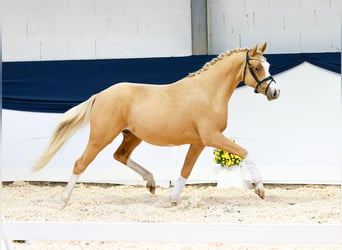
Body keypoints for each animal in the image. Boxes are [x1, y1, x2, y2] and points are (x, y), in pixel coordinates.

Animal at [32, 43, 280, 207]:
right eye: (258, 67)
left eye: (268, 64)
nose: (275, 92)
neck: (207, 91)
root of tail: (100, 95)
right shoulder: (211, 137)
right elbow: (245, 152)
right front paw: (260, 189)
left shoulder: (198, 142)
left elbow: (185, 170)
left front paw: (173, 199)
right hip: (101, 137)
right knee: (80, 163)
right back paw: (64, 200)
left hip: (132, 136)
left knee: (120, 155)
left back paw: (151, 182)